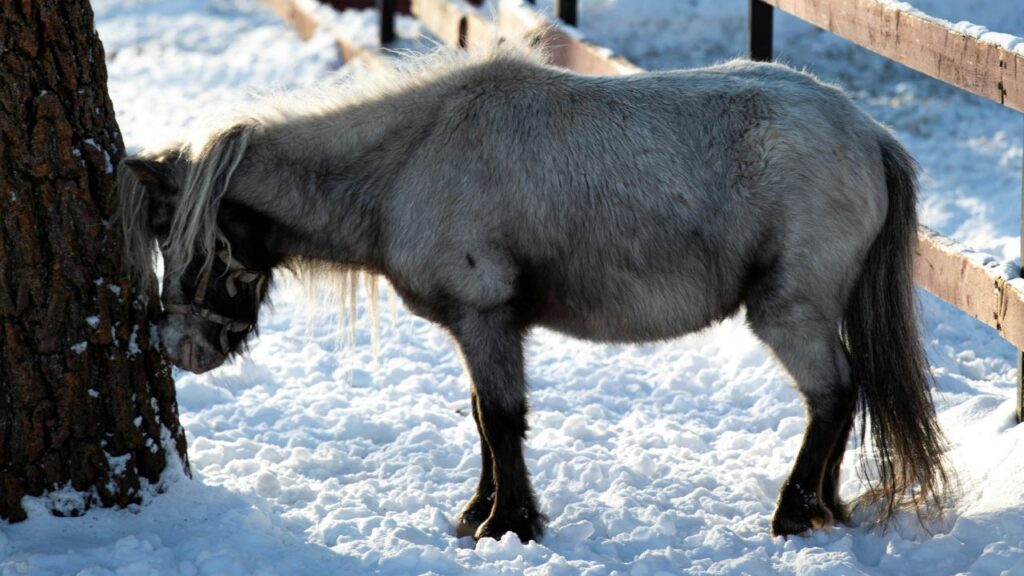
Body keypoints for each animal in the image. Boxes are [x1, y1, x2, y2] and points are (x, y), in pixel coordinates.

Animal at [118, 44, 950, 542]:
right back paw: (824, 508)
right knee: (843, 396)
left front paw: (507, 524)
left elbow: (502, 420)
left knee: (832, 396)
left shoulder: (486, 319)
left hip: (789, 313)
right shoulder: (481, 328)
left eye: (192, 245)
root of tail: (868, 133)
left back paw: (793, 513)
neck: (411, 160)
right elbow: (484, 420)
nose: (180, 348)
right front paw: (479, 514)